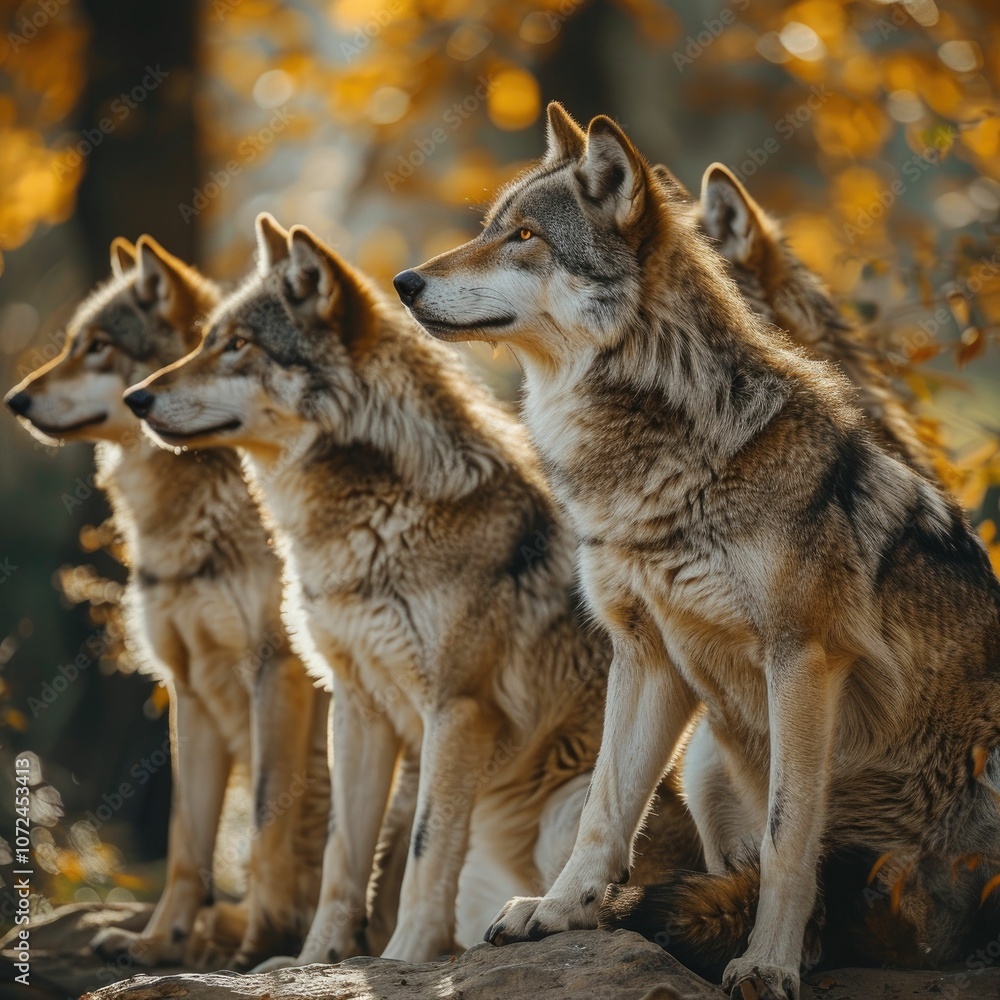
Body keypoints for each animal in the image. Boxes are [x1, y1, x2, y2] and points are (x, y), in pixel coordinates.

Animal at [4, 238, 330, 969]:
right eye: (72, 343)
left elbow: (265, 825)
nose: (14, 399)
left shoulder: (277, 670)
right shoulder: (189, 687)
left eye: (98, 347)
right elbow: (188, 840)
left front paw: (259, 946)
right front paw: (160, 941)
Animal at [123, 213, 701, 966]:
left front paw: (401, 959)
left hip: (567, 811)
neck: (364, 523)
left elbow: (427, 851)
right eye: (203, 341)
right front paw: (315, 963)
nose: (136, 399)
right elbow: (342, 856)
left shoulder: (457, 709)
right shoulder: (355, 706)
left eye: (239, 346)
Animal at [396, 102, 1000, 999]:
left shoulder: (801, 657)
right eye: (490, 229)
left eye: (526, 237)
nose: (403, 282)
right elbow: (606, 811)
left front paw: (767, 962)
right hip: (708, 758)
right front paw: (557, 911)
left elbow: (789, 836)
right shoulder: (643, 651)